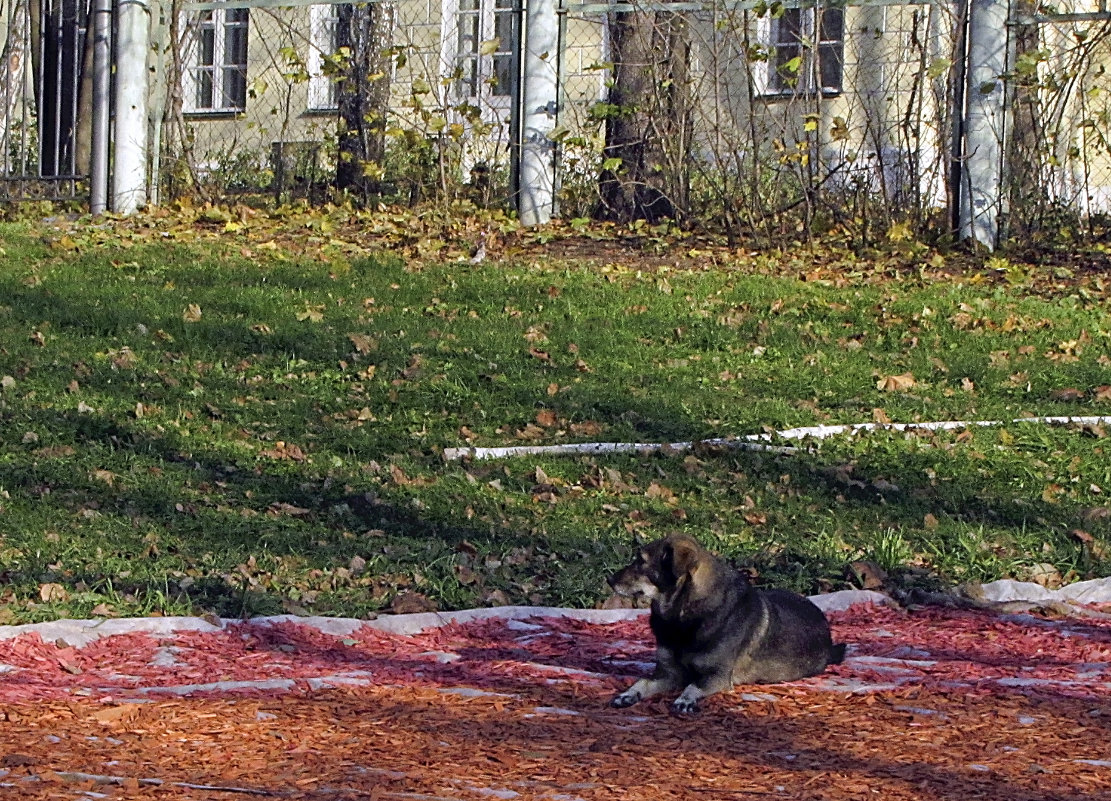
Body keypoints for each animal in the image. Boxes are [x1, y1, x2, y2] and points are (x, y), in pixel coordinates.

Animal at [604, 531, 844, 711]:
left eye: (641, 561)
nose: (609, 580)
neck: (682, 618)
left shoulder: (716, 676)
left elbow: (693, 685)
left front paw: (685, 700)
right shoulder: (668, 673)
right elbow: (643, 681)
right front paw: (628, 694)